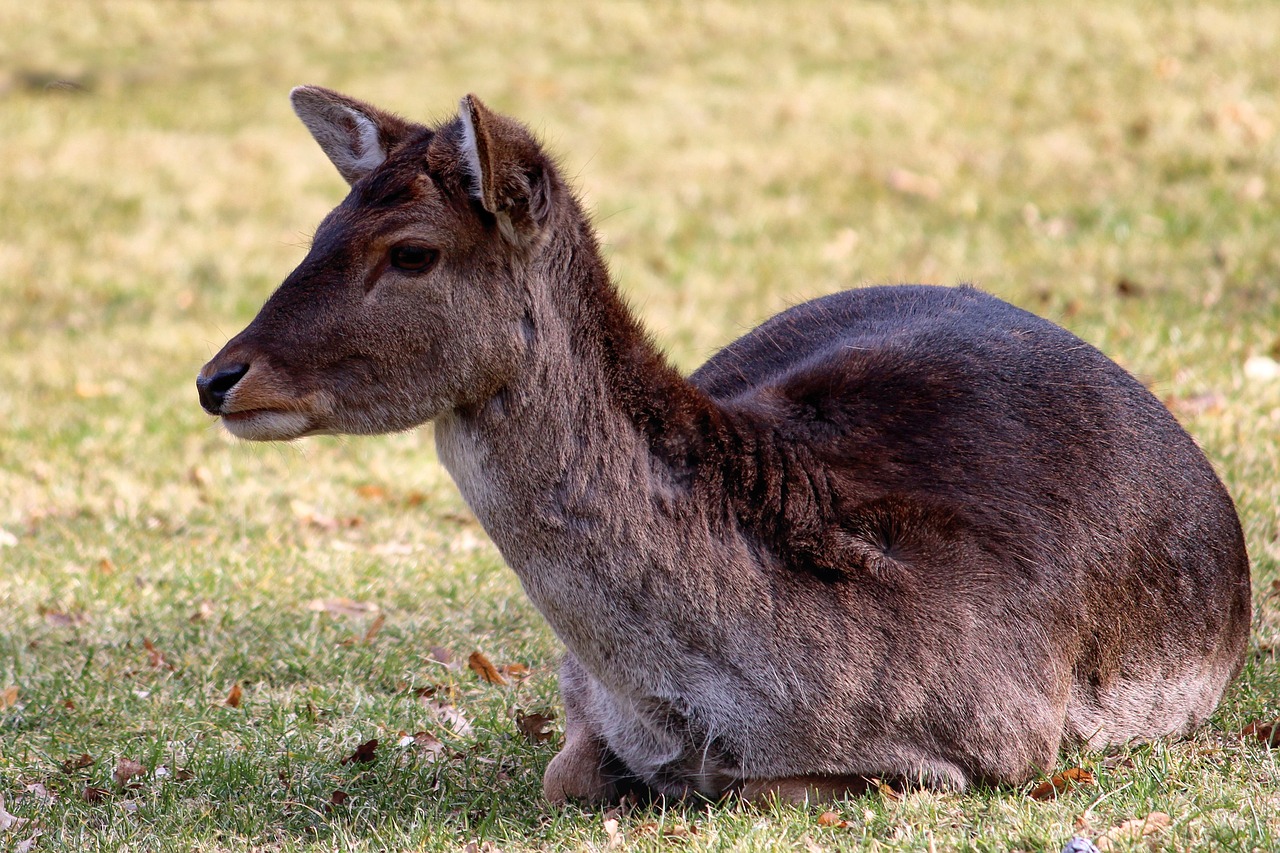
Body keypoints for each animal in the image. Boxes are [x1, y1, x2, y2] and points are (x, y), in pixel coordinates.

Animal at [197, 87, 1249, 804]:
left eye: (411, 250)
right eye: (322, 225)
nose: (218, 377)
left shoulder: (1002, 738)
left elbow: (759, 786)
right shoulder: (576, 693)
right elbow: (566, 775)